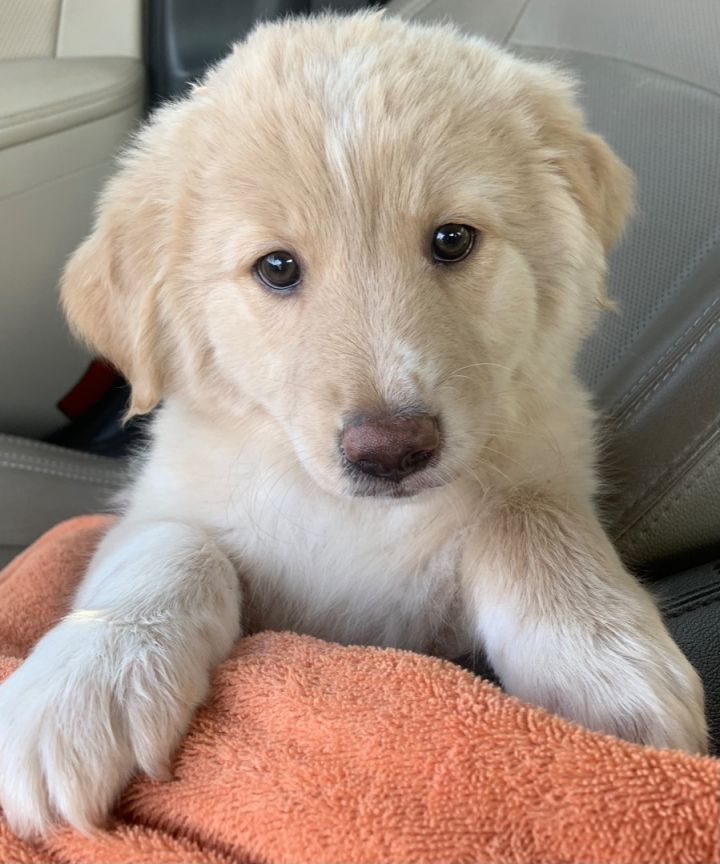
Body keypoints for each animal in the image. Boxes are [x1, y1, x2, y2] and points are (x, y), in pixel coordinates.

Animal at [0, 11, 708, 836]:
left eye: (452, 239)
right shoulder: (161, 503)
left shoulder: (545, 465)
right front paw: (84, 685)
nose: (392, 451)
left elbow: (527, 516)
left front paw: (602, 662)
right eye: (276, 268)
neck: (355, 517)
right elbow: (174, 546)